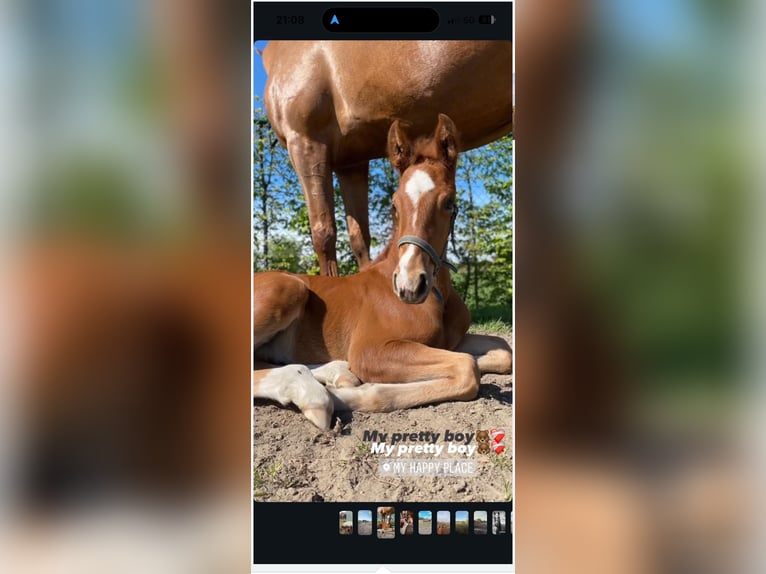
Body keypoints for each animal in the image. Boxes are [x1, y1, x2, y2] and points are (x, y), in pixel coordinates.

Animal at [252, 114, 512, 430]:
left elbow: (501, 352)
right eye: (394, 205)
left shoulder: (450, 341)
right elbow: (466, 367)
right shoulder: (370, 349)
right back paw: (315, 396)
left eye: (449, 202)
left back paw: (338, 373)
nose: (409, 286)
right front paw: (352, 395)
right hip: (288, 289)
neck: (439, 298)